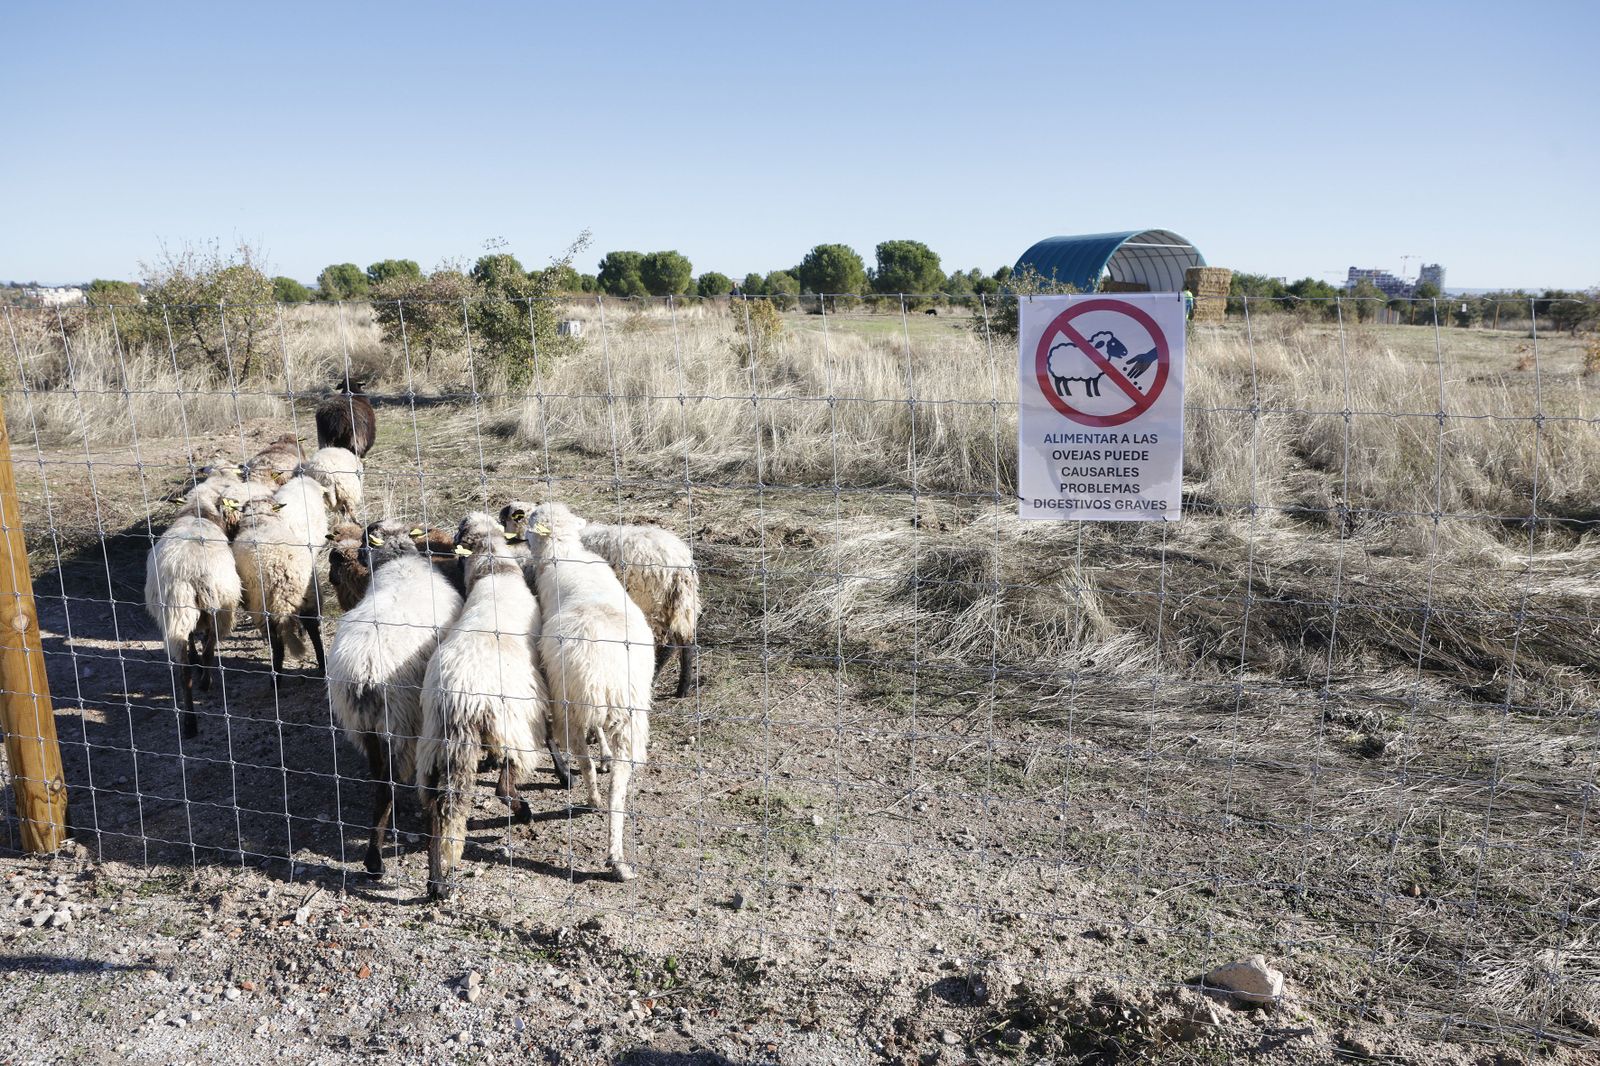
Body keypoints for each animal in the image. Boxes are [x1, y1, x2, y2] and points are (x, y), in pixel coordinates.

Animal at [143, 481, 242, 738]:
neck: (197, 513)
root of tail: (197, 572)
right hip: (216, 610)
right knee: (207, 650)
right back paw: (205, 684)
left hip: (178, 611)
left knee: (183, 670)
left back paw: (189, 722)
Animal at [231, 474, 332, 675]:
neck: (261, 520)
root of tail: (285, 580)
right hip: (311, 597)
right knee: (314, 631)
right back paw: (322, 665)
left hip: (263, 607)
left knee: (277, 645)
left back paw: (275, 675)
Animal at [327, 519, 463, 878]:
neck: (399, 561)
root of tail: (364, 674)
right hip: (400, 720)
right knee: (392, 784)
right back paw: (380, 857)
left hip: (365, 726)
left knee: (379, 782)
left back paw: (374, 855)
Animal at [415, 513, 549, 900]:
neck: (495, 571)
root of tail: (459, 697)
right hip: (513, 726)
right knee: (505, 783)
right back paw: (522, 810)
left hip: (437, 744)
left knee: (442, 806)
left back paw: (438, 879)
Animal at [523, 501, 653, 881]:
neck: (564, 552)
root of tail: (603, 675)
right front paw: (605, 752)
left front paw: (601, 753)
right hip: (627, 715)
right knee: (618, 788)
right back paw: (616, 854)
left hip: (570, 706)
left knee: (582, 758)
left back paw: (593, 798)